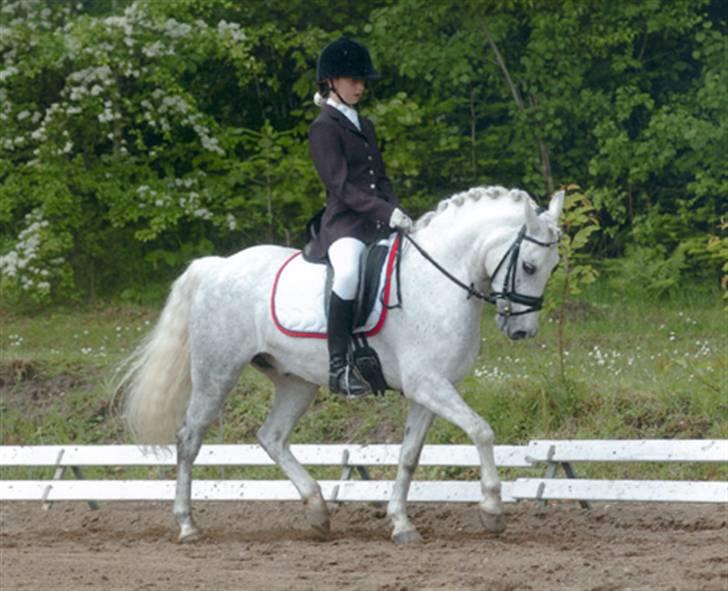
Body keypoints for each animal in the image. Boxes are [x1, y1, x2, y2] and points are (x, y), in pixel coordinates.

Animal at [118, 185, 564, 544]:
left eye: (554, 268)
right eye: (528, 266)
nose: (522, 331)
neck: (437, 280)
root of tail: (217, 265)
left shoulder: (430, 390)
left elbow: (410, 455)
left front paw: (401, 524)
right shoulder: (428, 384)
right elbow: (482, 430)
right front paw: (493, 511)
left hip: (296, 381)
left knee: (271, 437)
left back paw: (317, 511)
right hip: (217, 371)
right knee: (189, 438)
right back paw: (188, 525)